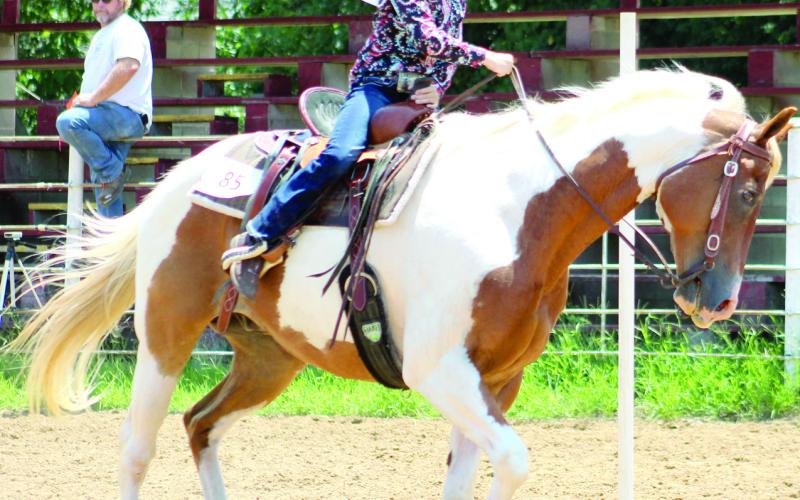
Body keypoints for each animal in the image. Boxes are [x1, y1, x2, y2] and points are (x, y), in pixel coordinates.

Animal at [9, 68, 794, 499]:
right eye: (748, 189)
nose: (719, 301)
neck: (518, 205)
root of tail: (183, 177)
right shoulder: (437, 369)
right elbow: (513, 460)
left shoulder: (495, 379)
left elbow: (469, 475)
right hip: (164, 338)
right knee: (136, 449)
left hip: (268, 359)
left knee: (201, 426)